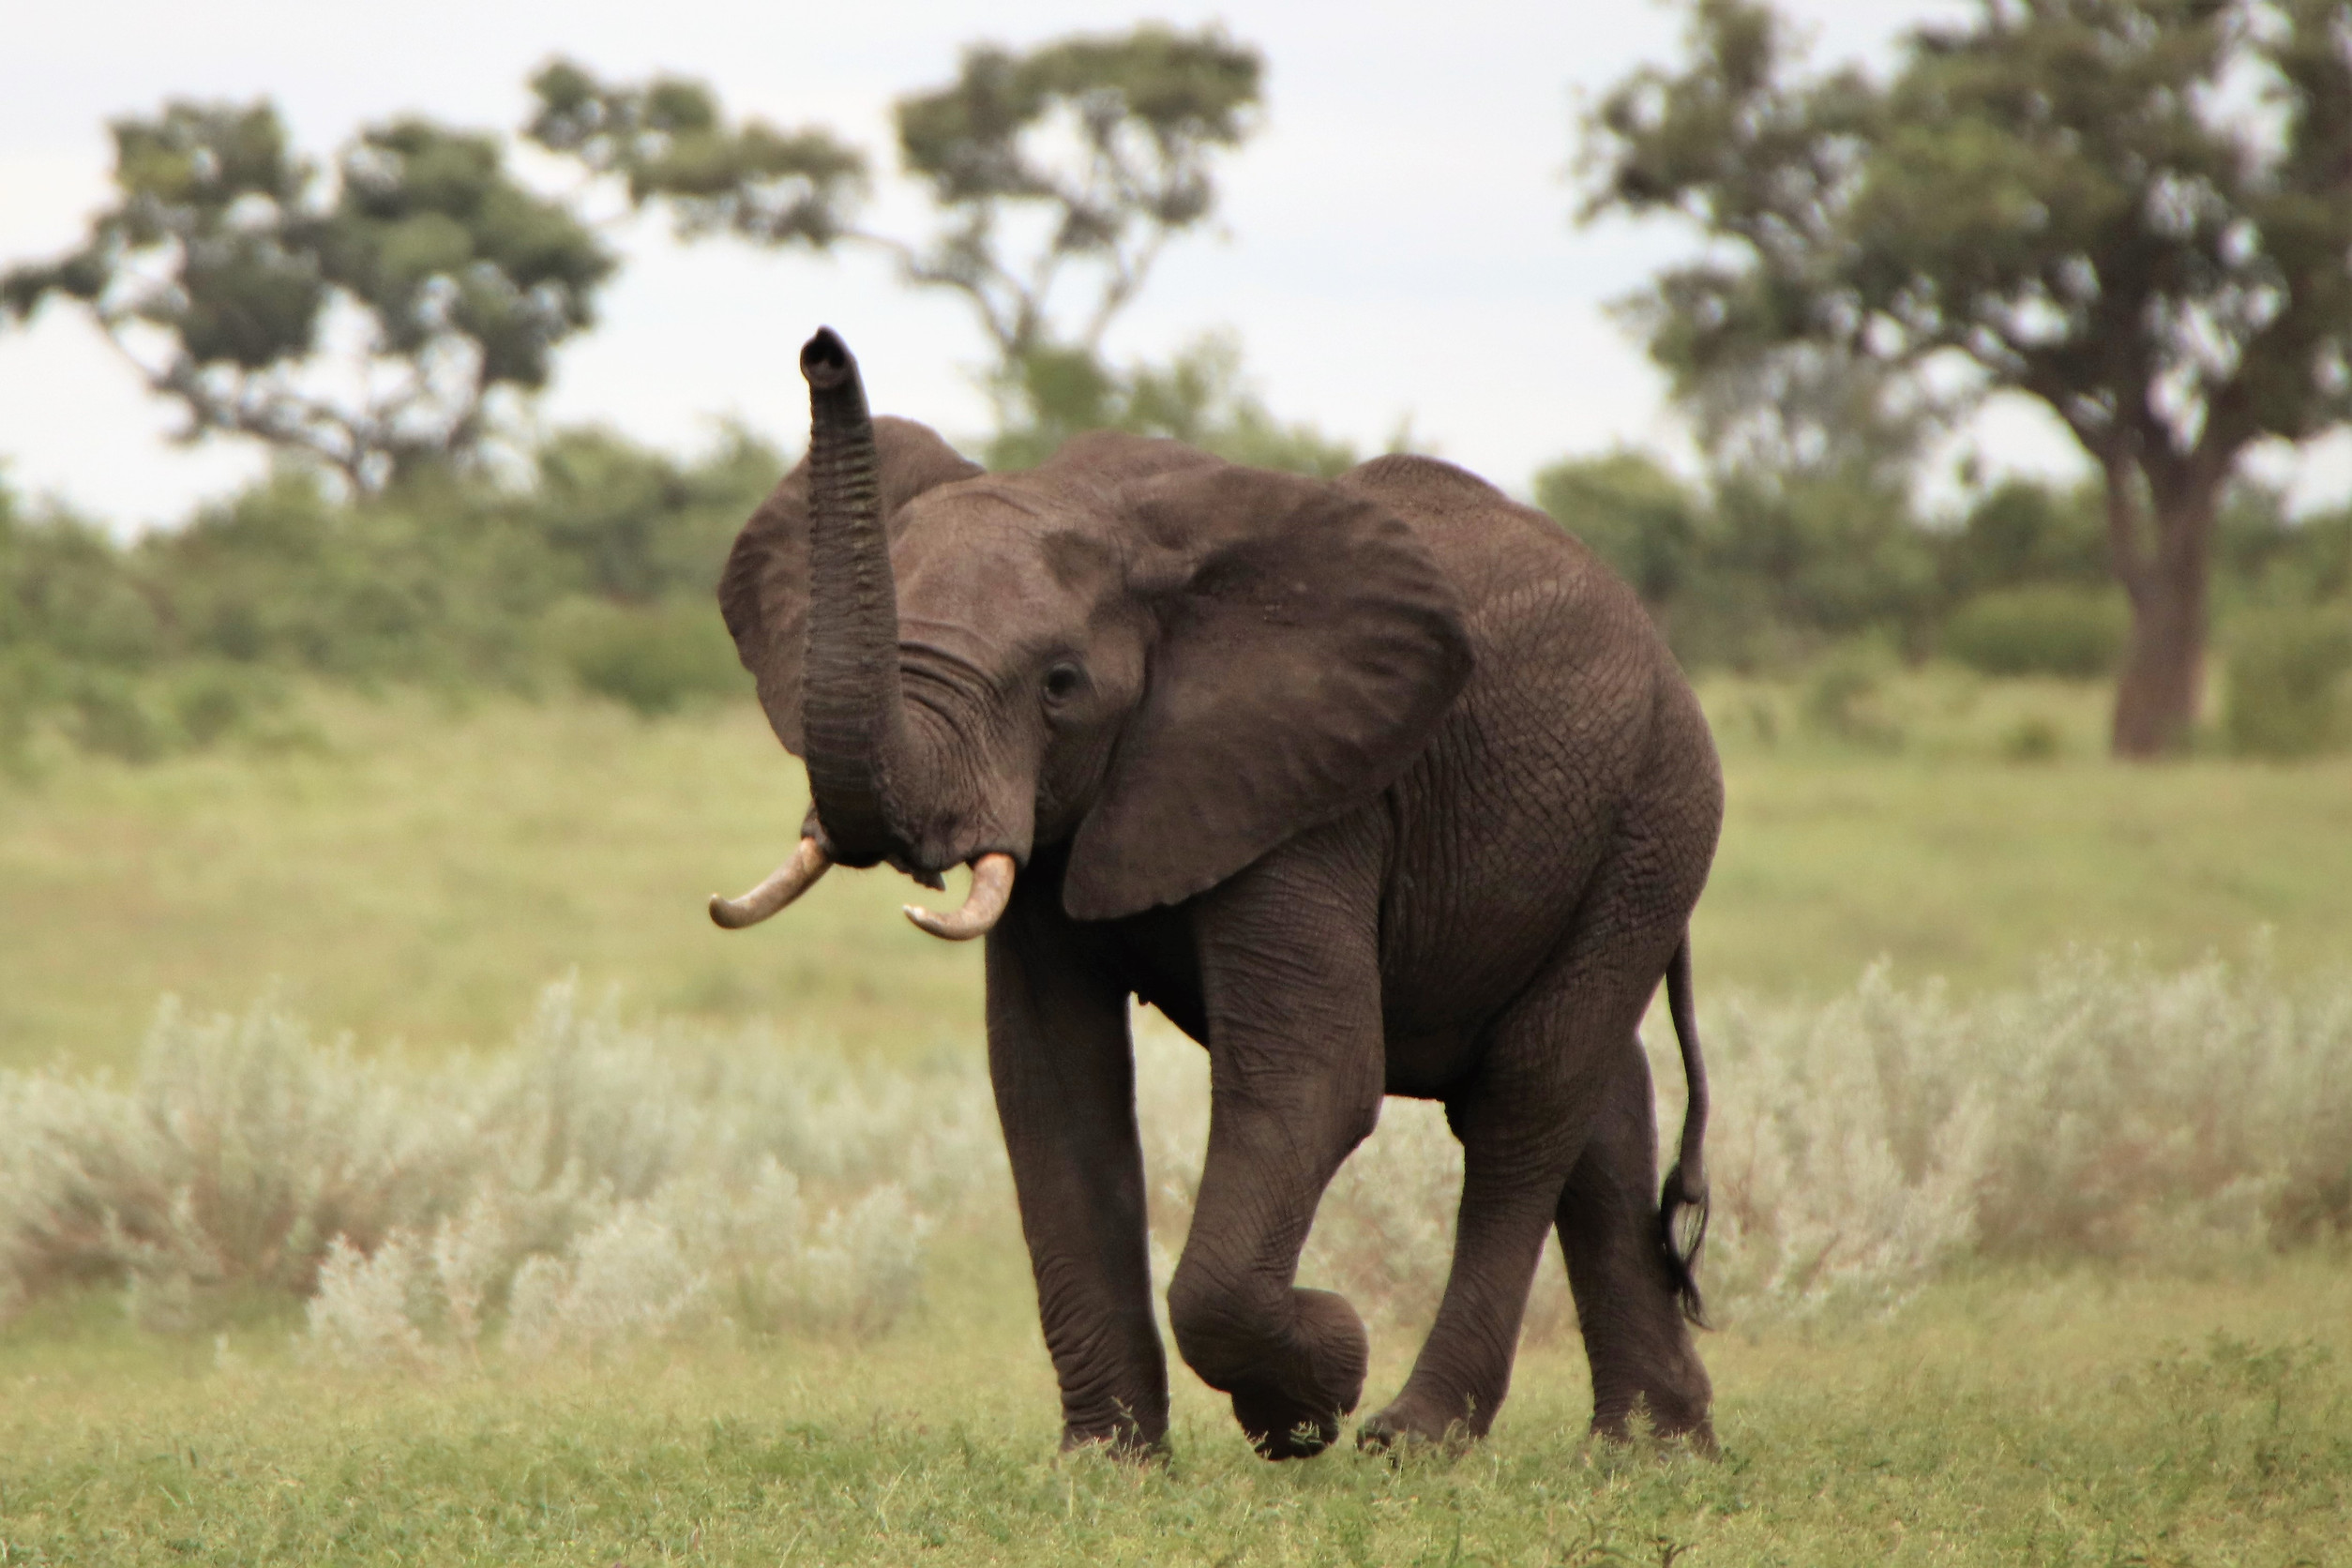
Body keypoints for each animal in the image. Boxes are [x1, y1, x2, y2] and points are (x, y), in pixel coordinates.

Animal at [705, 328, 1721, 1457]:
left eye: (1060, 686)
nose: (820, 351)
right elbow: (1052, 1082)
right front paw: (1109, 1461)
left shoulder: (1311, 793)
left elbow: (1314, 1076)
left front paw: (1318, 1390)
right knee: (1602, 1103)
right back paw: (1657, 1450)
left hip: (1653, 821)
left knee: (1526, 1097)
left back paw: (1413, 1438)